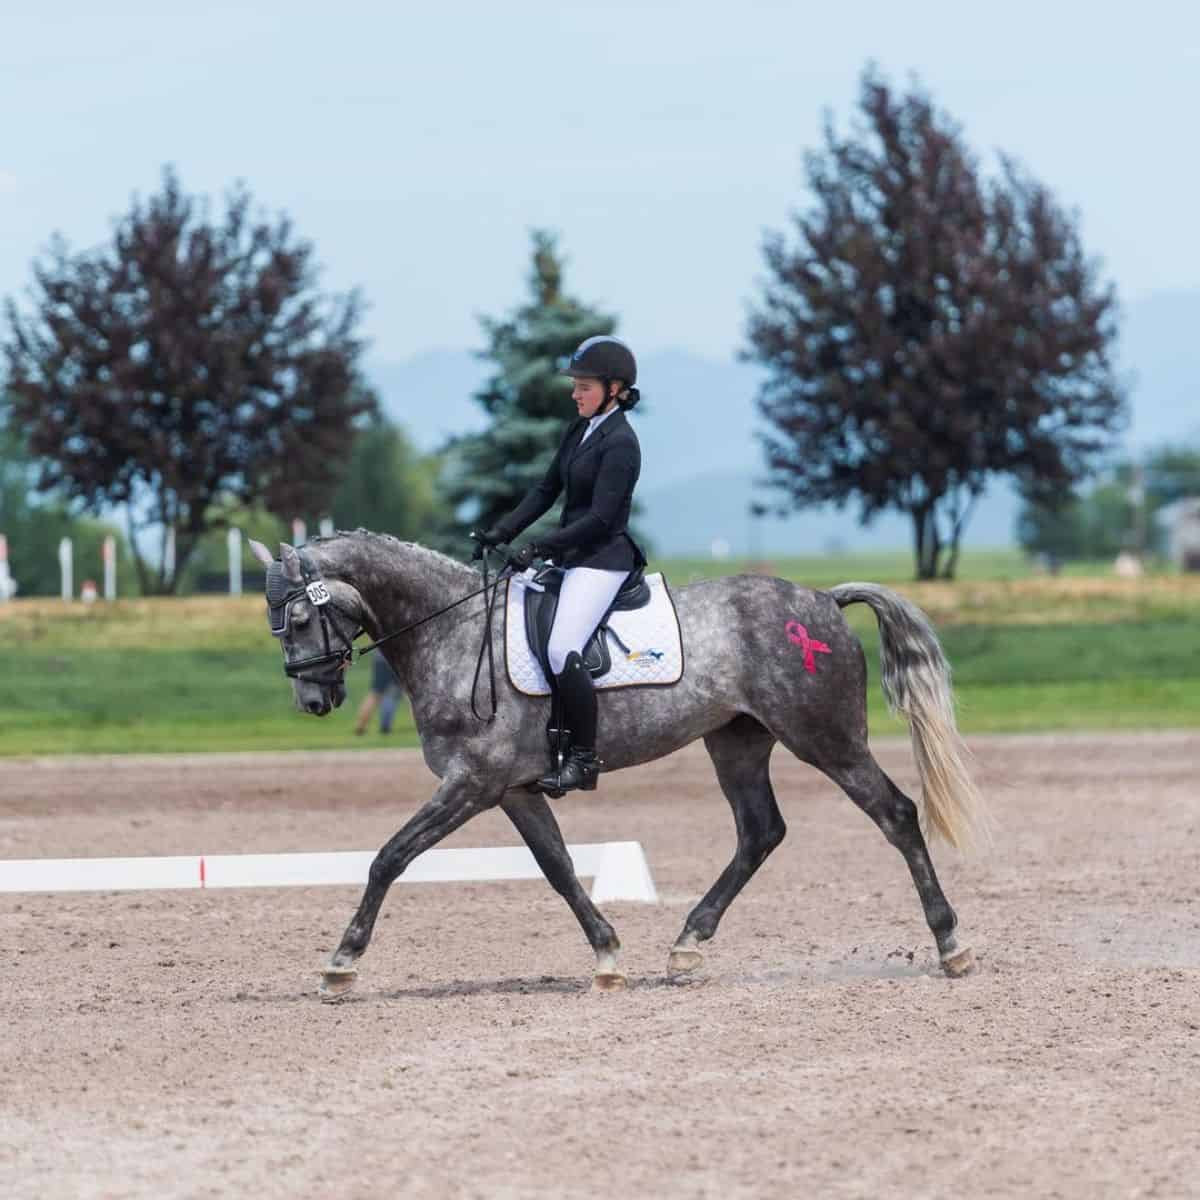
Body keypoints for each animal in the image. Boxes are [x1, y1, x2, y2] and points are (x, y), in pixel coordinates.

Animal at [250, 530, 984, 998]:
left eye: (298, 618)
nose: (313, 700)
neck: (450, 633)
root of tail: (823, 601)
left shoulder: (473, 783)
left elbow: (389, 857)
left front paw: (341, 963)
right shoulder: (513, 789)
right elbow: (558, 868)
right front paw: (607, 955)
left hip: (825, 739)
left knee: (896, 814)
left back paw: (951, 947)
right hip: (738, 741)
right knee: (760, 832)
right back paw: (688, 945)